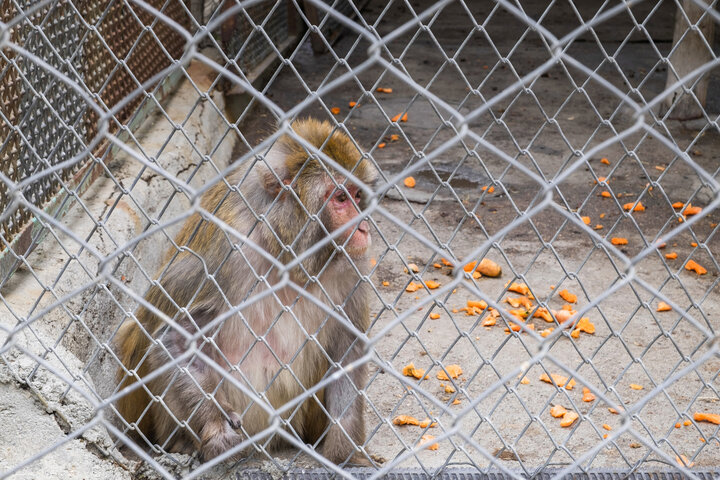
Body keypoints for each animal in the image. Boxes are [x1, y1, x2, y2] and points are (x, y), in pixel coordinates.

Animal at [114, 117, 376, 464]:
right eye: (341, 199)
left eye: (357, 195)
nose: (363, 226)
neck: (282, 251)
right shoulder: (225, 253)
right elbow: (175, 339)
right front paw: (216, 428)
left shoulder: (349, 268)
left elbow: (346, 351)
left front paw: (346, 454)